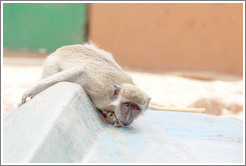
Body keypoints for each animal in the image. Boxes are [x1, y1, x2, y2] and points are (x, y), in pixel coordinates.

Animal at [20, 42, 151, 127]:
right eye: (126, 105)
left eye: (135, 108)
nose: (128, 118)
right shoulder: (100, 90)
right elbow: (80, 72)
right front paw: (33, 89)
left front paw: (110, 116)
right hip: (50, 64)